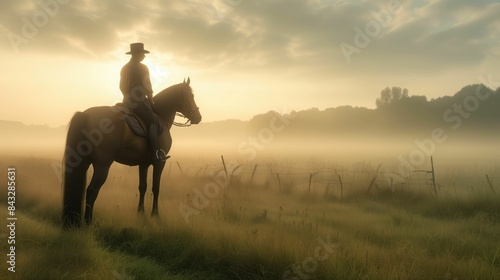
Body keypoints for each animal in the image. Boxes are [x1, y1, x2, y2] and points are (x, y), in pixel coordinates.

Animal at [62, 78, 201, 228]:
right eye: (190, 96)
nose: (198, 117)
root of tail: (86, 114)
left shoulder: (144, 164)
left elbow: (142, 187)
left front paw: (141, 213)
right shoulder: (160, 163)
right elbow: (156, 188)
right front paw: (155, 215)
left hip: (85, 162)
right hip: (102, 165)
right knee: (92, 191)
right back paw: (88, 222)